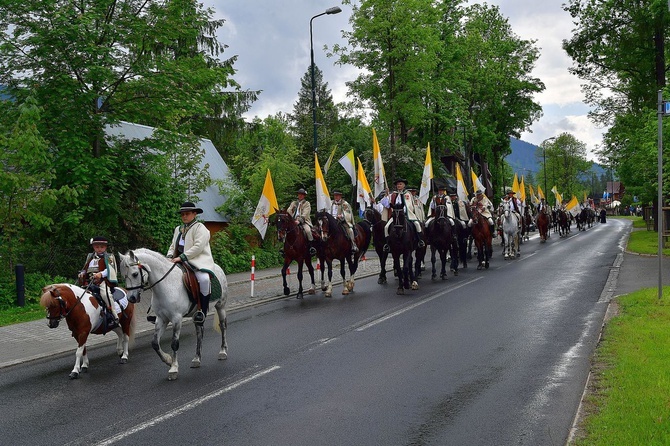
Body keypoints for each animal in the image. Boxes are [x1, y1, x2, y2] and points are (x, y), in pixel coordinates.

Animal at [118, 247, 228, 380]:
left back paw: (222, 352)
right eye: (123, 276)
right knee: (199, 333)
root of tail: (217, 267)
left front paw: (173, 369)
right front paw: (168, 360)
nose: (131, 298)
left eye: (134, 274)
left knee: (222, 327)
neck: (166, 285)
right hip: (197, 315)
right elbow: (155, 343)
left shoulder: (176, 319)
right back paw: (196, 359)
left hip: (220, 306)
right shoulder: (161, 319)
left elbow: (174, 343)